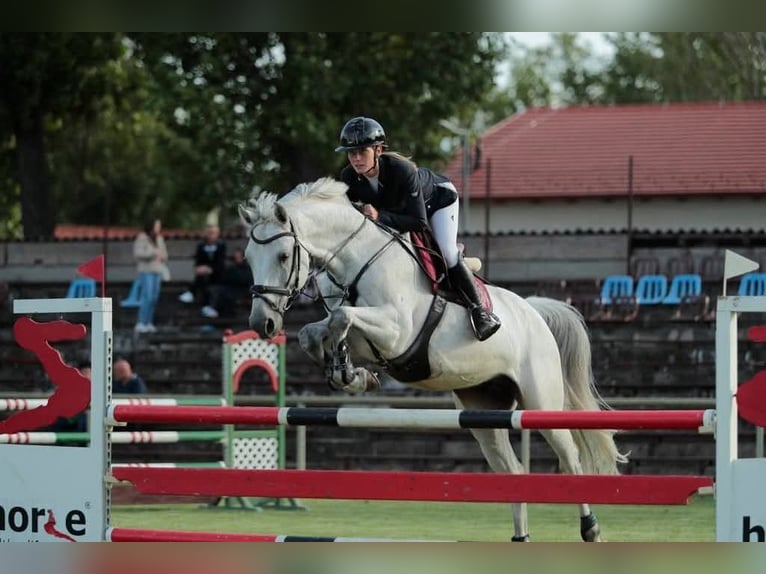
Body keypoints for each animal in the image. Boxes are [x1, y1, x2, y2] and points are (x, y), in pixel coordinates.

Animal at [238, 177, 627, 541]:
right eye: (248, 259)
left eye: (283, 256)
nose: (262, 323)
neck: (355, 259)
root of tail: (534, 311)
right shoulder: (369, 335)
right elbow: (318, 330)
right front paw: (348, 372)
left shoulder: (397, 332)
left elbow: (342, 318)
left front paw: (346, 370)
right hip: (484, 408)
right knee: (512, 471)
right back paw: (521, 537)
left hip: (541, 403)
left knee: (570, 458)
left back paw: (591, 528)